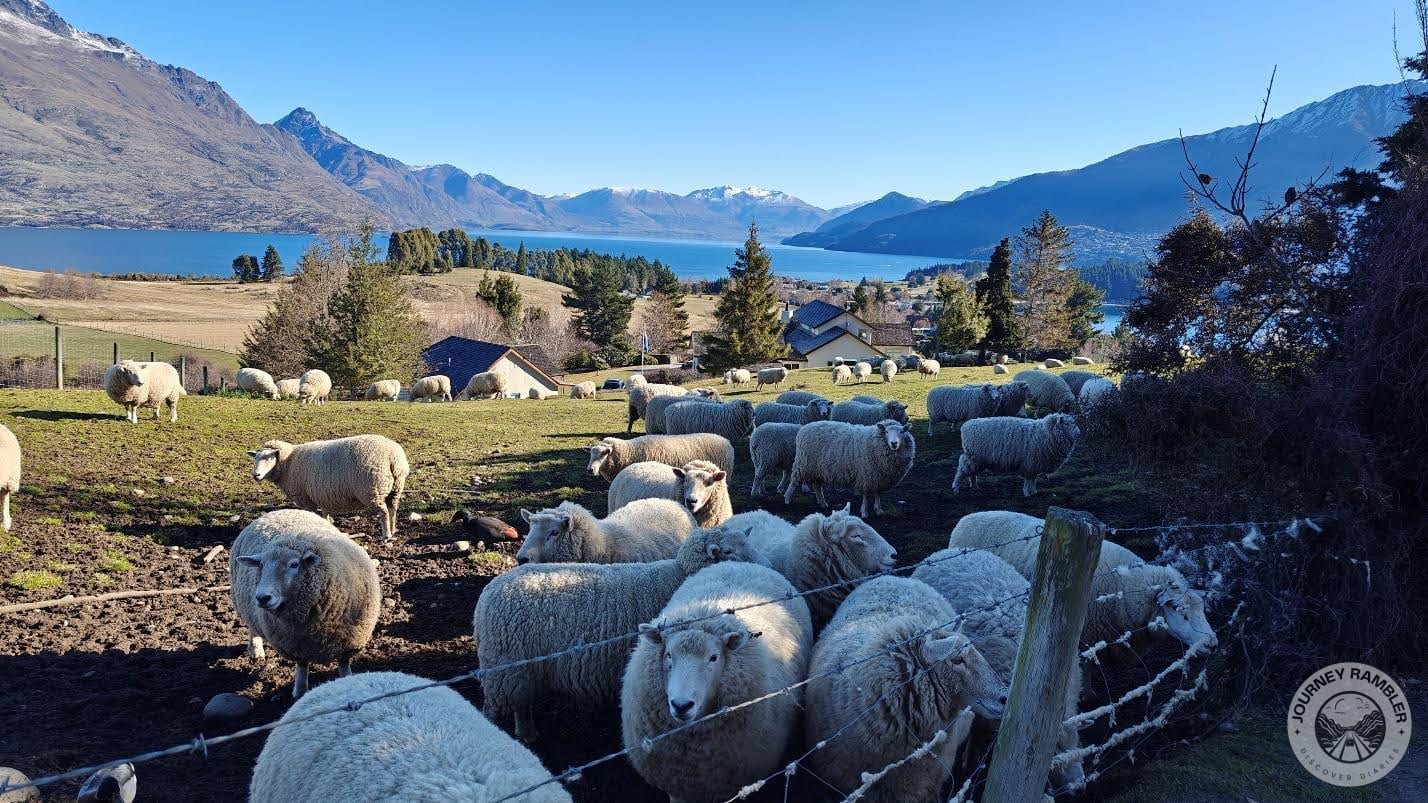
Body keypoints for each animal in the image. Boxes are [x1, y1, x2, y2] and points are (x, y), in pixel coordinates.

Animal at [229, 509, 380, 699]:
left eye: (294, 564)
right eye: (261, 565)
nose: (262, 597)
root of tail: (281, 510)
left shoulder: (349, 642)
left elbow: (344, 664)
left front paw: (347, 680)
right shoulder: (296, 647)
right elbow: (302, 667)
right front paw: (300, 691)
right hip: (247, 607)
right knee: (252, 628)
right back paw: (256, 650)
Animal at [248, 435, 409, 541]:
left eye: (270, 458)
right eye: (255, 458)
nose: (256, 475)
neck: (289, 462)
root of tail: (393, 457)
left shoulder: (306, 499)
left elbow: (313, 514)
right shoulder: (320, 495)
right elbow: (324, 514)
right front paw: (328, 525)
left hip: (372, 490)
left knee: (383, 512)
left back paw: (386, 535)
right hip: (395, 488)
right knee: (393, 508)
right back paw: (393, 530)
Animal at [474, 526, 762, 742]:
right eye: (728, 551)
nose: (767, 567)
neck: (677, 573)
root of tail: (488, 593)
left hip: (516, 671)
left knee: (520, 703)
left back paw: (527, 734)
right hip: (505, 668)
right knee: (501, 708)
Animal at [785, 419, 915, 518]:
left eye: (902, 431)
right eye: (887, 431)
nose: (894, 443)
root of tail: (804, 428)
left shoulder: (878, 476)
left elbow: (877, 493)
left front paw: (878, 510)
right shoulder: (865, 474)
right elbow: (865, 495)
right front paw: (864, 512)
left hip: (816, 468)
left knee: (817, 486)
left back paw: (823, 503)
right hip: (803, 464)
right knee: (794, 480)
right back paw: (787, 499)